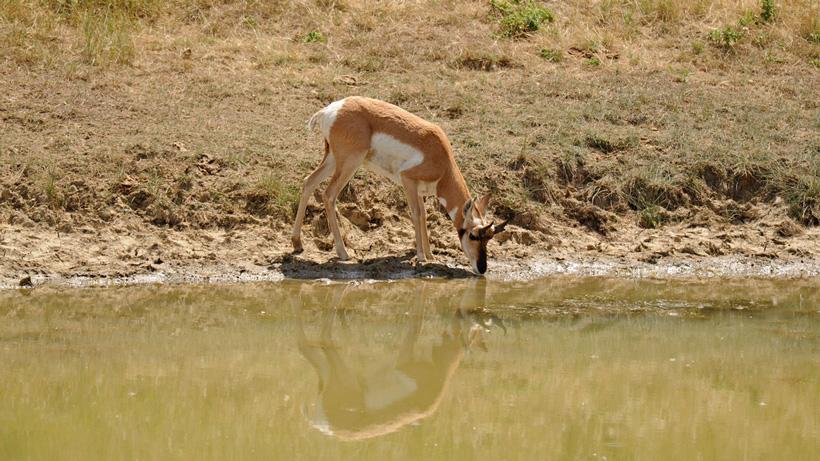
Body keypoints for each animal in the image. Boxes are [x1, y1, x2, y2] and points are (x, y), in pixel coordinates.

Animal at [291, 96, 508, 274]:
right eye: (473, 235)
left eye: (490, 237)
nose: (482, 268)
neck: (442, 159)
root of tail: (333, 109)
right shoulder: (408, 181)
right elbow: (416, 214)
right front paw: (421, 256)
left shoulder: (420, 191)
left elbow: (424, 216)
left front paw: (430, 255)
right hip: (349, 164)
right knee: (328, 195)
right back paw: (343, 253)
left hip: (332, 160)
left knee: (308, 182)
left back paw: (297, 244)